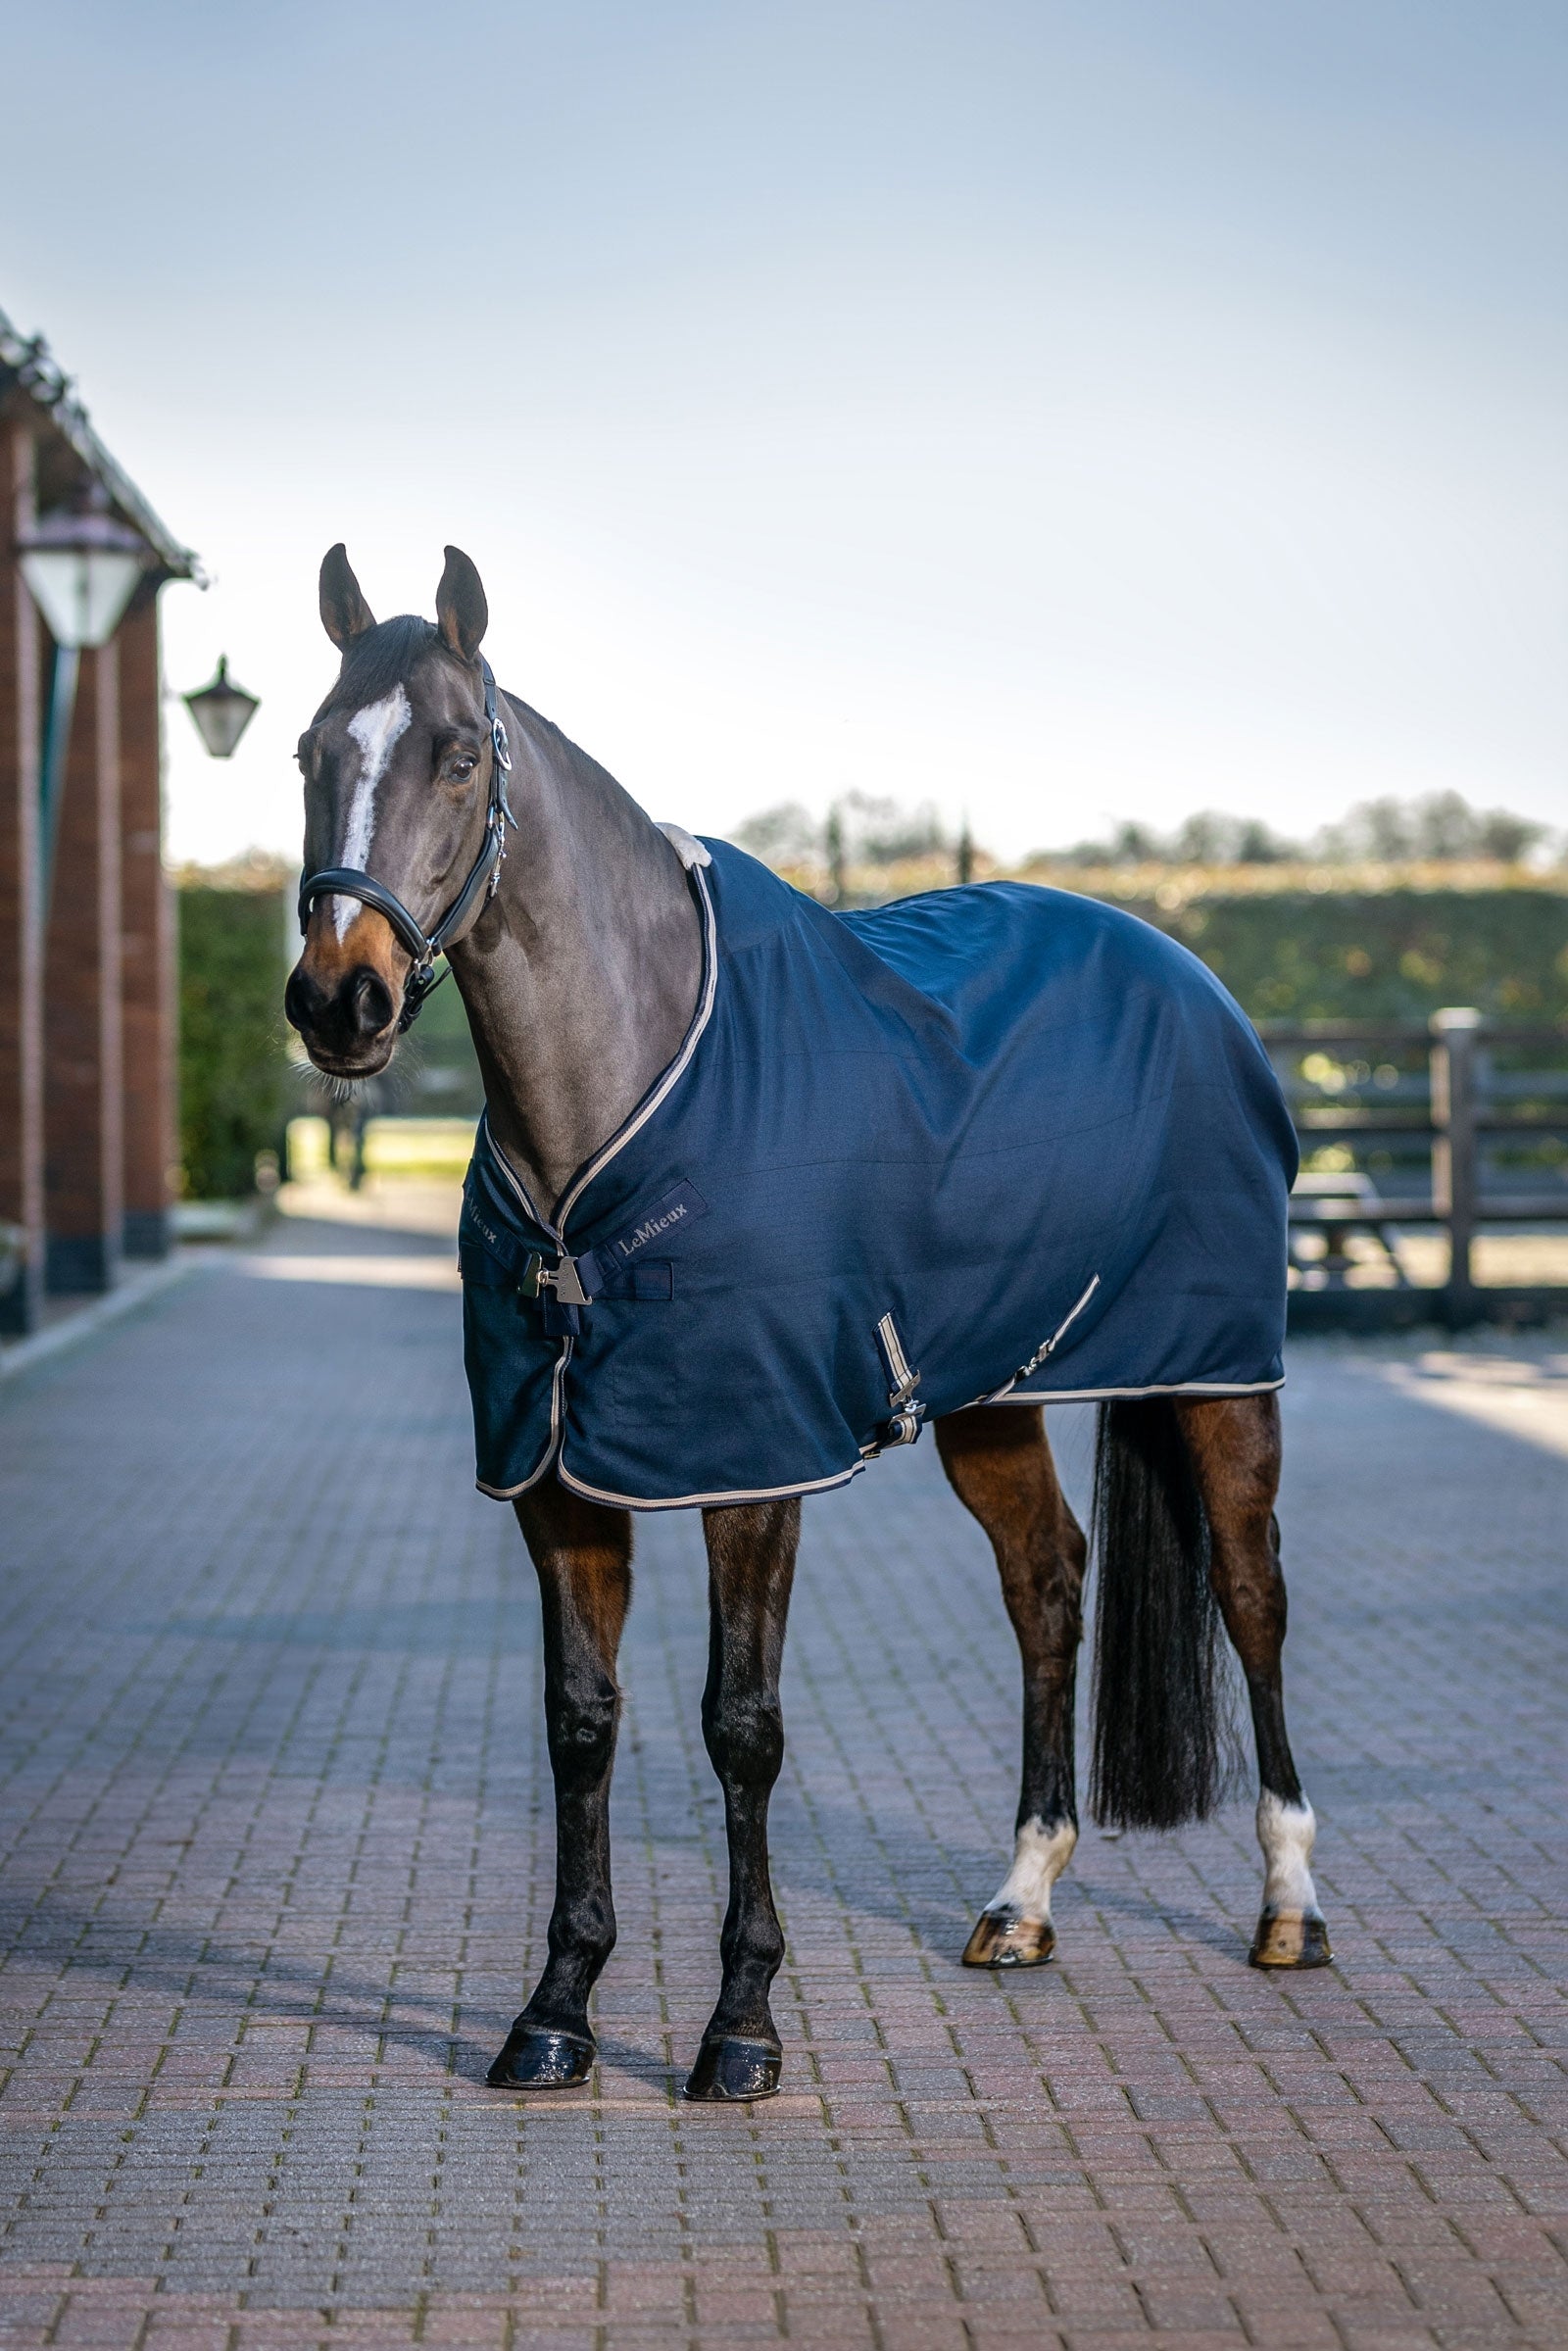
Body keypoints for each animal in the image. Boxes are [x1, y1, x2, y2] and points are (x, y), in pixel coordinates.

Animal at [285, 544, 1331, 2104]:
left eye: (459, 756)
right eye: (307, 752)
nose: (338, 1001)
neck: (620, 1101)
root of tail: (1186, 969)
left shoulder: (751, 1464)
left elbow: (742, 1726)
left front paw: (740, 2026)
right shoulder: (554, 1476)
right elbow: (580, 1723)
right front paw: (555, 2010)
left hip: (1218, 1377)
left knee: (1252, 1594)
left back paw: (1289, 1904)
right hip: (993, 1399)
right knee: (1049, 1583)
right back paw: (1020, 1900)